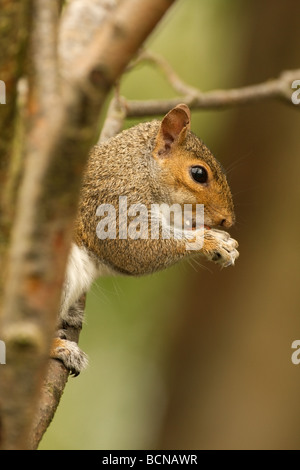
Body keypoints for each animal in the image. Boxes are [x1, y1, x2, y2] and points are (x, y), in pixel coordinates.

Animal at [51, 103, 239, 374]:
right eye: (199, 173)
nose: (228, 221)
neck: (140, 169)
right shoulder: (113, 201)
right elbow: (138, 250)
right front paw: (212, 241)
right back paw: (59, 347)